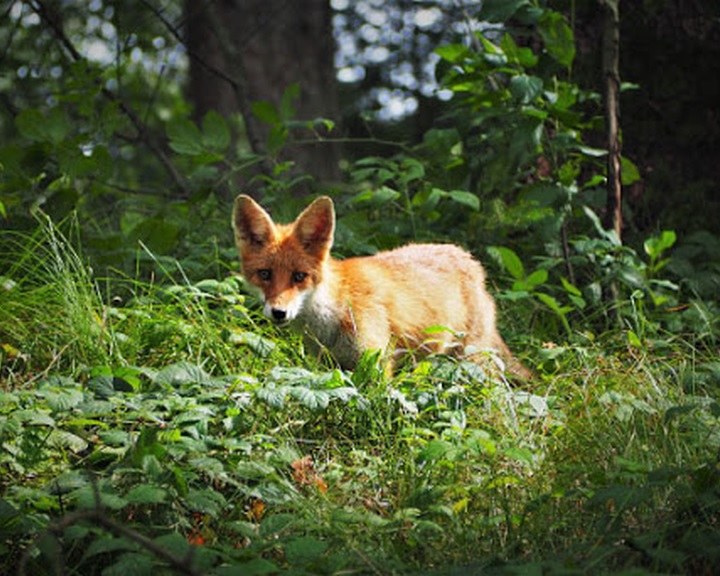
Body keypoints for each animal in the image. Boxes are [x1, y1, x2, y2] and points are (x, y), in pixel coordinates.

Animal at [233, 196, 532, 380]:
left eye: (299, 276)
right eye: (265, 274)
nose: (278, 312)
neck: (334, 311)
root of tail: (471, 261)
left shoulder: (375, 361)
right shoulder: (330, 365)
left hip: (473, 361)